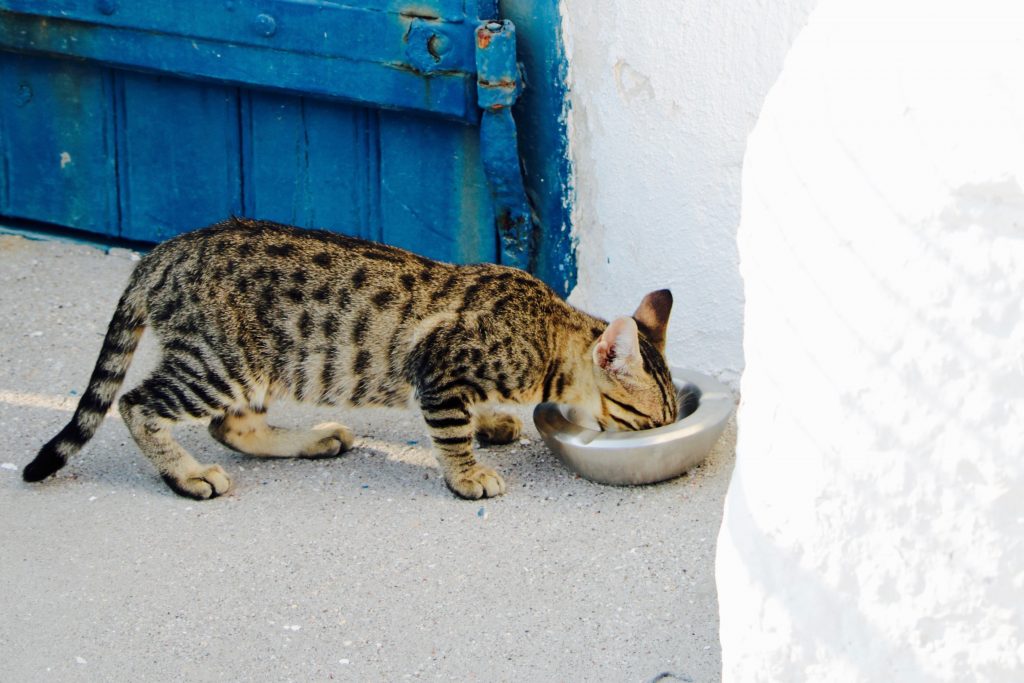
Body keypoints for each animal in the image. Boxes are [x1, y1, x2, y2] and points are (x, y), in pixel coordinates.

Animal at [22, 220, 679, 501]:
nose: (662, 434)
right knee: (138, 404)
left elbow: (470, 415)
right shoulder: (436, 368)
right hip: (220, 363)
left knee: (231, 425)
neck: (546, 329)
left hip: (259, 365)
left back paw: (311, 439)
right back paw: (186, 475)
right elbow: (449, 430)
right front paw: (468, 473)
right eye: (649, 422)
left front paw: (492, 421)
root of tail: (162, 253)